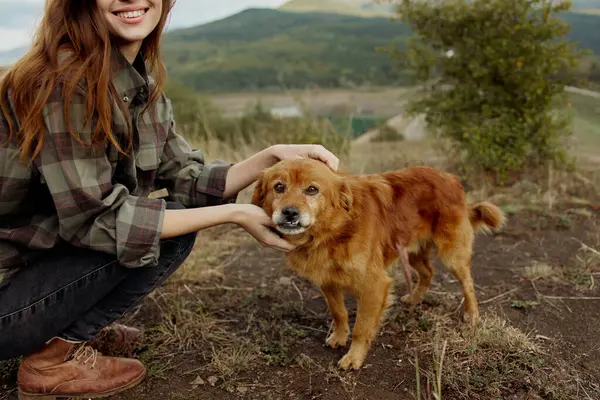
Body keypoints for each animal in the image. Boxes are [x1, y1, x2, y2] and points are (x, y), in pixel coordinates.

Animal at [251, 158, 504, 370]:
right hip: (411, 249)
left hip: (452, 254)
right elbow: (339, 312)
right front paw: (339, 337)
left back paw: (471, 314)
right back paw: (414, 299)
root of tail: (450, 178)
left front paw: (354, 357)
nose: (289, 213)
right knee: (428, 272)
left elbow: (362, 327)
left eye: (311, 189)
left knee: (467, 283)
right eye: (279, 187)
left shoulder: (374, 284)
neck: (332, 232)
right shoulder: (328, 281)